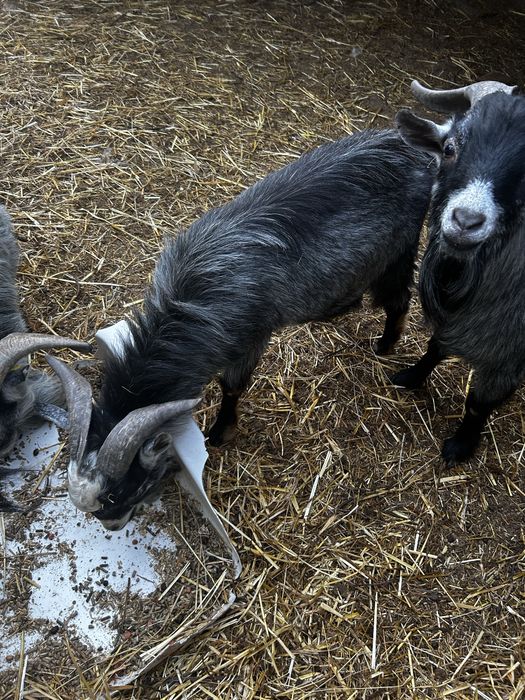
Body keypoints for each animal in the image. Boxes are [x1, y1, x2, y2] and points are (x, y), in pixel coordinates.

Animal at [49, 128, 434, 529]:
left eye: (125, 488)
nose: (113, 524)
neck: (190, 305)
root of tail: (402, 143)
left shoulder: (250, 337)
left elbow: (232, 387)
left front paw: (219, 433)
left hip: (399, 250)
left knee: (398, 300)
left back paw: (385, 346)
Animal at [392, 78, 523, 466]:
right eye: (450, 148)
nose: (465, 221)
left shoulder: (508, 352)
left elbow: (479, 403)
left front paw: (461, 446)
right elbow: (436, 346)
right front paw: (411, 376)